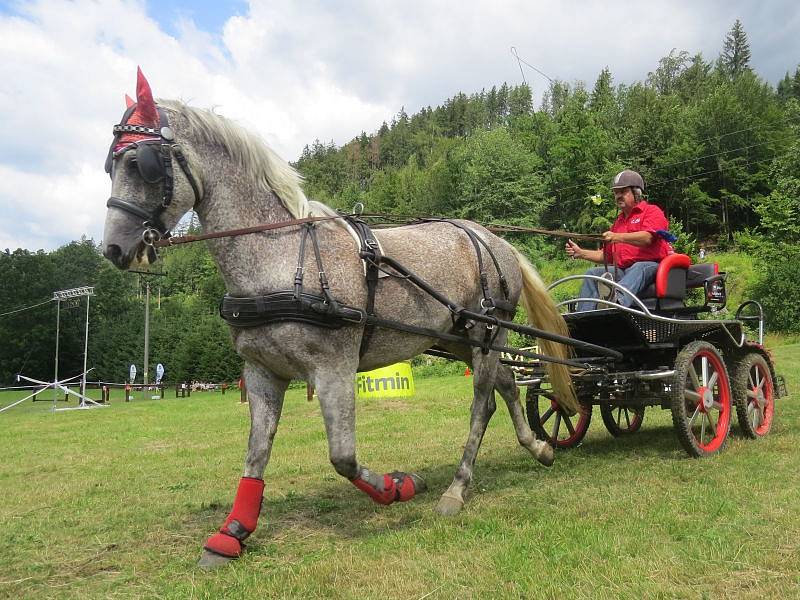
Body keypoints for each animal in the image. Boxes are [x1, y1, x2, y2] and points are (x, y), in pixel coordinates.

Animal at [101, 70, 576, 568]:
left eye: (140, 163)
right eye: (110, 166)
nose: (114, 248)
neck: (280, 256)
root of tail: (494, 239)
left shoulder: (334, 369)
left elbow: (342, 457)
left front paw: (397, 486)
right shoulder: (262, 371)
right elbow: (256, 454)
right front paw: (232, 532)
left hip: (489, 331)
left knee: (482, 402)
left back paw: (457, 488)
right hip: (456, 337)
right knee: (506, 382)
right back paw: (538, 447)